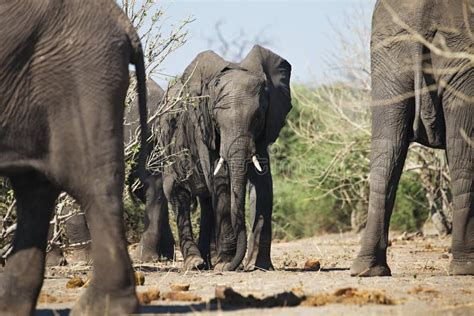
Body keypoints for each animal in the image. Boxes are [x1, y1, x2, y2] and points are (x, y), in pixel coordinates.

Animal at [135, 45, 292, 272]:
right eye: (217, 120)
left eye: (258, 117)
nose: (236, 266)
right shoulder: (202, 128)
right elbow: (221, 180)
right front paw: (225, 264)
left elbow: (263, 184)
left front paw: (259, 267)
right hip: (166, 147)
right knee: (177, 194)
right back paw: (196, 263)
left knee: (207, 201)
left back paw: (209, 262)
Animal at [350, 0, 472, 276]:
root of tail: (423, 17)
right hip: (462, 55)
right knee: (463, 156)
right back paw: (466, 267)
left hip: (388, 59)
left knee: (386, 152)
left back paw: (368, 270)